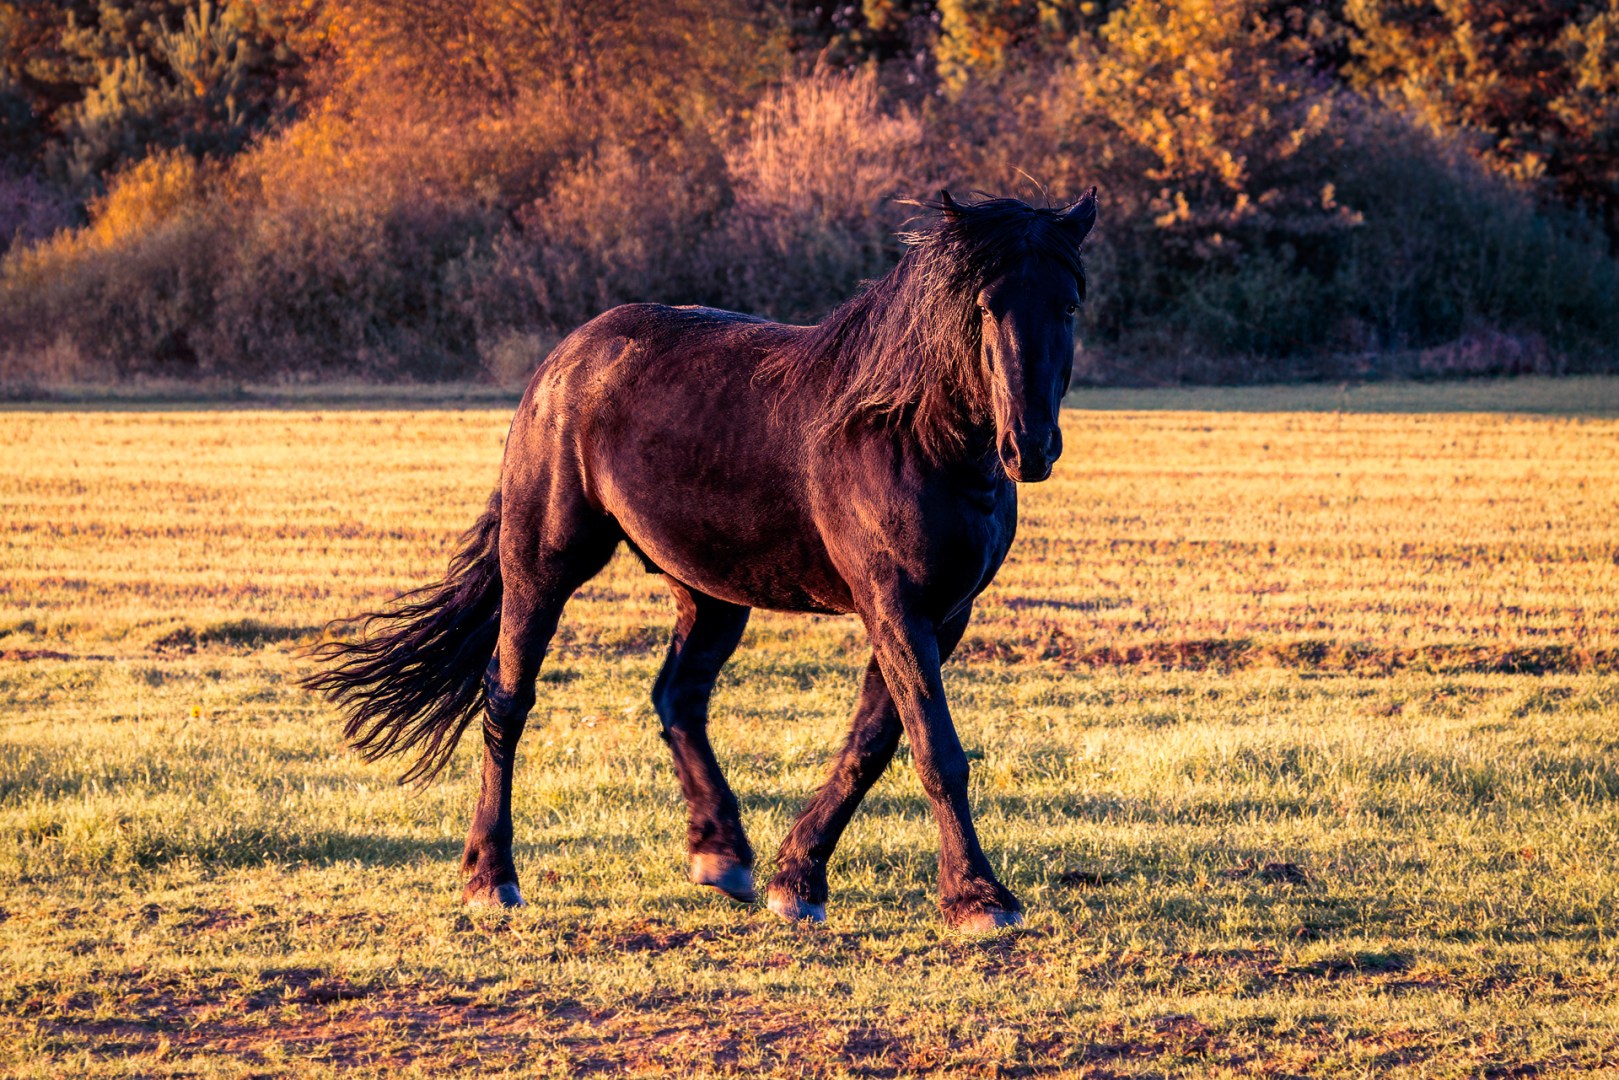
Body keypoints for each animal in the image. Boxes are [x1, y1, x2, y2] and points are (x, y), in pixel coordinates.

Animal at [305, 189, 1097, 931]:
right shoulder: (894, 605)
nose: (1029, 446)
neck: (904, 431)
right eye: (985, 305)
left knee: (677, 698)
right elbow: (936, 749)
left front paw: (797, 879)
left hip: (711, 591)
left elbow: (872, 742)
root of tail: (564, 362)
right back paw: (490, 876)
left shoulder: (942, 613)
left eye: (1067, 304)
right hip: (542, 565)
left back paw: (722, 854)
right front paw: (977, 896)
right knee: (506, 698)